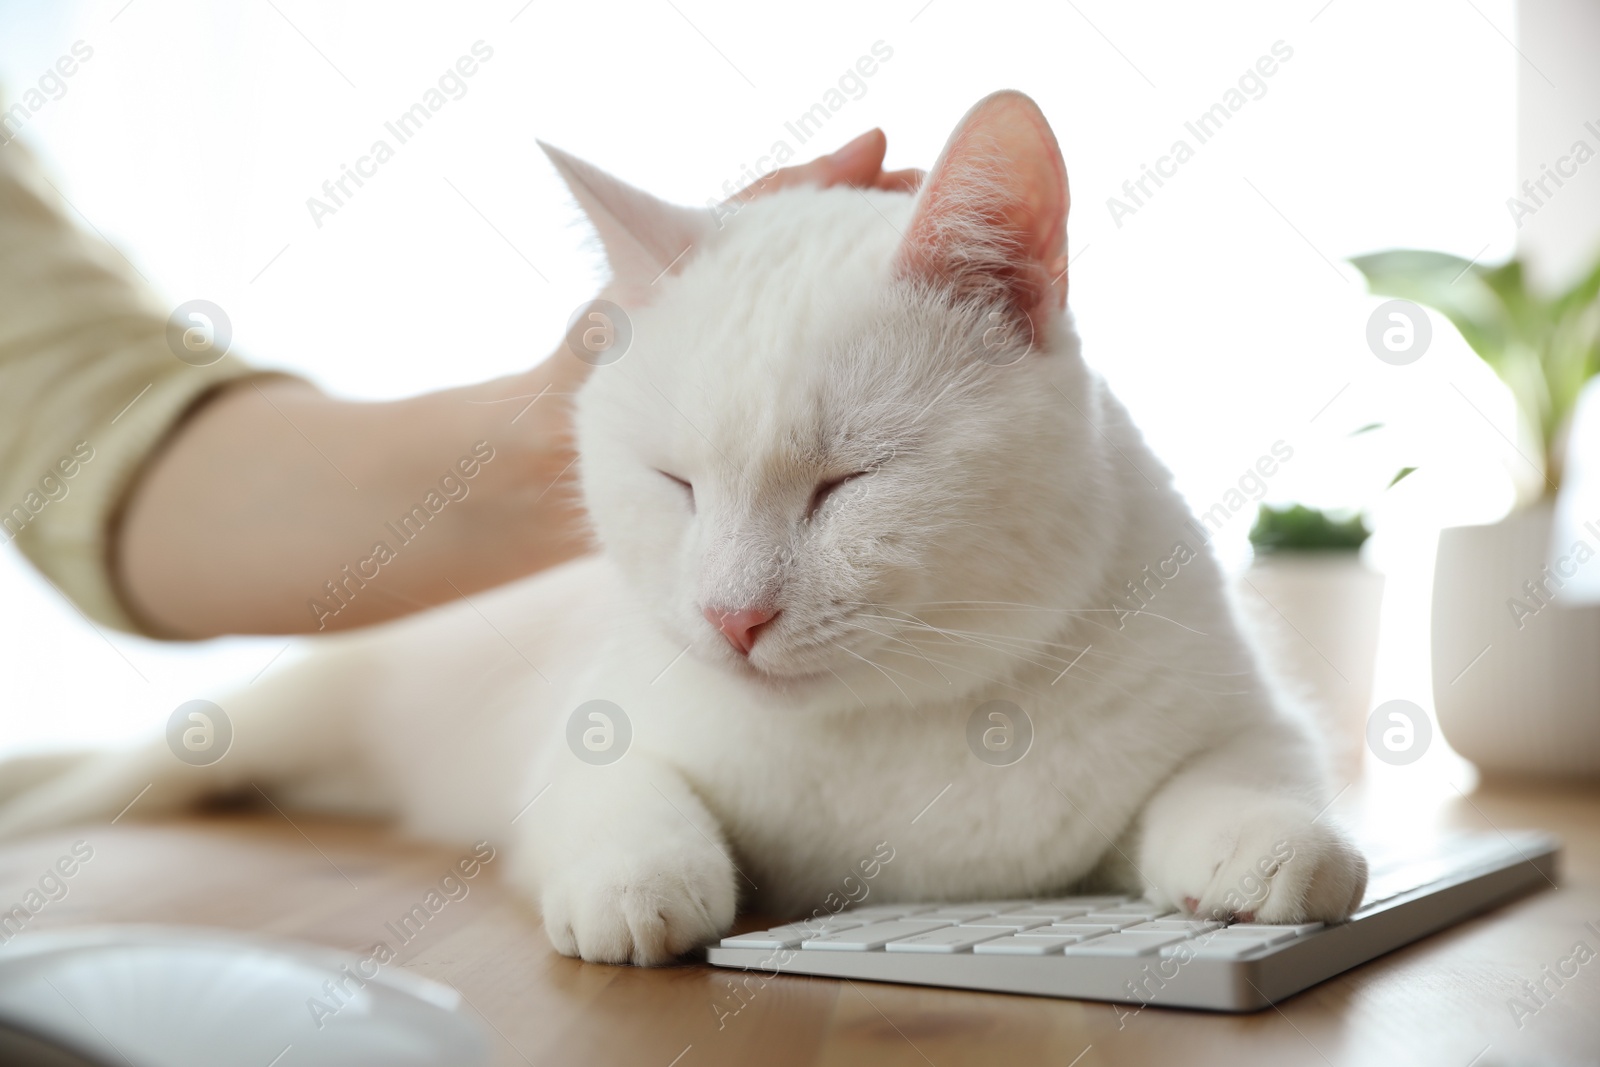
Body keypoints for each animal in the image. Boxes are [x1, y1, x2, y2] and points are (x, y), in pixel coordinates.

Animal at [0, 93, 1363, 966]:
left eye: (844, 482)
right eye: (675, 484)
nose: (731, 613)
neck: (905, 721)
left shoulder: (1250, 716)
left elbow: (1248, 781)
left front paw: (1272, 852)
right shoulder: (583, 743)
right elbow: (633, 810)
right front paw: (642, 890)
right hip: (266, 715)